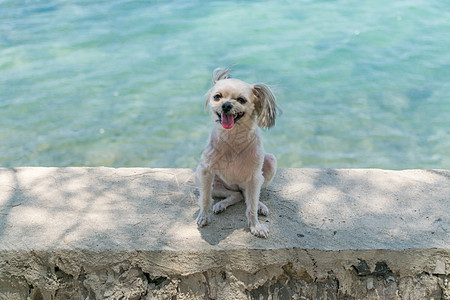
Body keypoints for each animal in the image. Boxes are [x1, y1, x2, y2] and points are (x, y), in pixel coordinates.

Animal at [196, 67, 278, 237]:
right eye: (217, 96)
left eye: (241, 100)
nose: (226, 105)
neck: (232, 136)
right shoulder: (205, 172)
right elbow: (205, 199)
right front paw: (204, 216)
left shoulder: (254, 177)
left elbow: (251, 206)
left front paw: (255, 225)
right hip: (208, 181)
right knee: (236, 195)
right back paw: (221, 204)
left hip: (269, 164)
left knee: (247, 195)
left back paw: (260, 205)